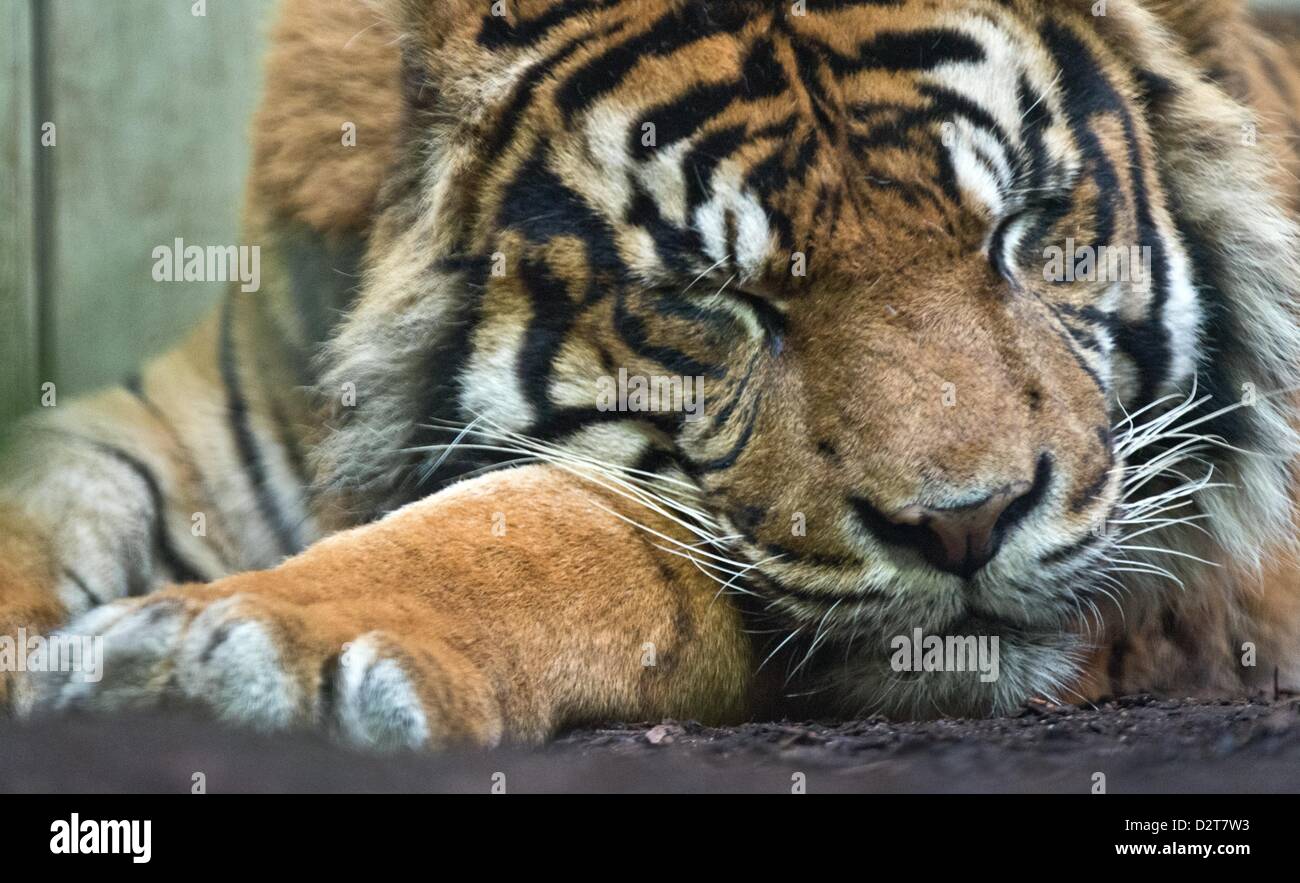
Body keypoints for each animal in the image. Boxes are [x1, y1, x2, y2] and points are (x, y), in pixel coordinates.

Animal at [2, 0, 1300, 754]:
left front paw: (226, 657)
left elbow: (572, 532)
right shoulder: (175, 428)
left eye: (1021, 231)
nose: (966, 524)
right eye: (709, 295)